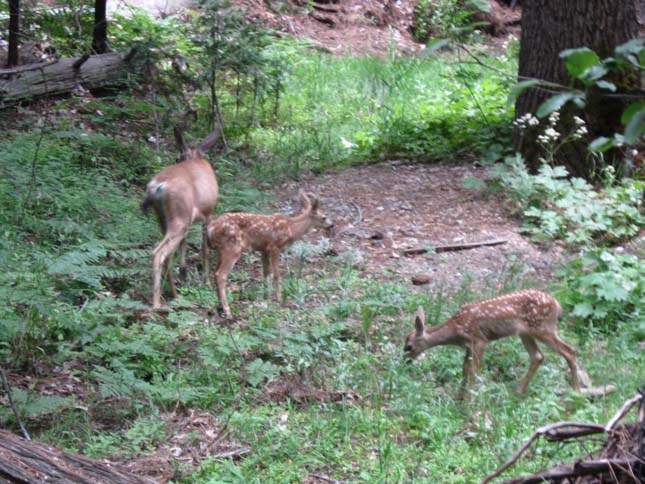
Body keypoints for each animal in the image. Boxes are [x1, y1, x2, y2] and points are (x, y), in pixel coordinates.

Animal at [142, 126, 220, 308]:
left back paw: (175, 295)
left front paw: (184, 274)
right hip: (179, 218)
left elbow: (184, 247)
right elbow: (205, 249)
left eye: (177, 157)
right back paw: (157, 304)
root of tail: (157, 186)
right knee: (159, 253)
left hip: (166, 219)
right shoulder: (208, 214)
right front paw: (207, 282)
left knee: (168, 255)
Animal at [209, 191, 334, 320]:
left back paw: (219, 307)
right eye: (324, 217)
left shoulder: (264, 249)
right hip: (232, 248)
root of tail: (211, 228)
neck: (291, 228)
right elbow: (276, 274)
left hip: (221, 251)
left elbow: (266, 273)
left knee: (215, 272)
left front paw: (266, 297)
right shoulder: (275, 246)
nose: (332, 225)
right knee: (221, 274)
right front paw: (279, 298)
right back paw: (227, 311)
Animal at [402, 292, 592, 398]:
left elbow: (473, 371)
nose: (405, 361)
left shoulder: (479, 340)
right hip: (526, 333)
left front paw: (469, 401)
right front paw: (459, 398)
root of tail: (558, 305)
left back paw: (577, 391)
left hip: (543, 328)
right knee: (538, 356)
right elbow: (464, 369)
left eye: (409, 346)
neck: (456, 329)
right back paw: (518, 392)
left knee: (569, 350)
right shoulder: (468, 347)